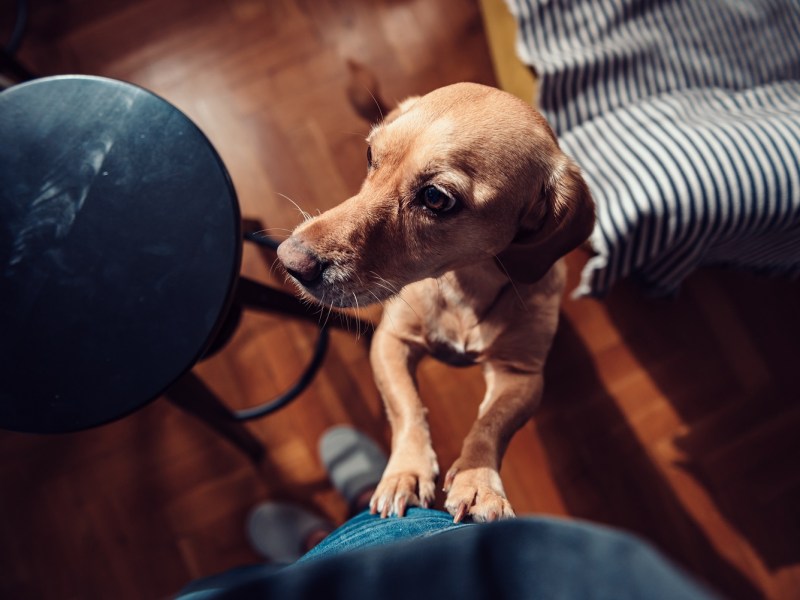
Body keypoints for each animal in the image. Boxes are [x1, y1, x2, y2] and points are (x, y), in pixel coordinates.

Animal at [276, 82, 592, 524]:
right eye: (370, 156)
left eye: (436, 198)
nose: (290, 261)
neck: (464, 287)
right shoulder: (390, 343)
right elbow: (409, 409)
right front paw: (406, 473)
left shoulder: (521, 375)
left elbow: (491, 424)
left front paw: (478, 482)